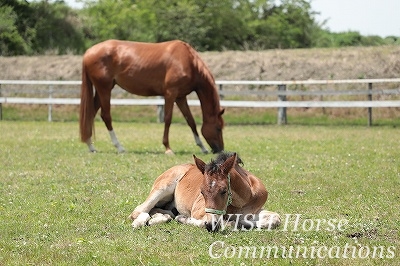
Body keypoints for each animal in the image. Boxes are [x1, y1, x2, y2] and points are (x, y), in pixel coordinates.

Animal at [79, 39, 223, 154]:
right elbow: (168, 119)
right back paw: (119, 147)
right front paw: (168, 148)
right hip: (104, 89)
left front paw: (202, 147)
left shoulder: (180, 97)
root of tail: (88, 52)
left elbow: (191, 121)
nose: (220, 149)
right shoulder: (170, 94)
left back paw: (91, 146)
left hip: (102, 90)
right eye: (218, 127)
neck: (188, 61)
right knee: (106, 116)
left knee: (91, 114)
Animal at [130, 153, 280, 232]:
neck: (245, 199)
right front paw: (184, 219)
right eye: (201, 192)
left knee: (163, 212)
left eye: (224, 190)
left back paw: (158, 218)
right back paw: (141, 222)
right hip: (163, 188)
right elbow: (225, 223)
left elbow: (275, 219)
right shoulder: (199, 211)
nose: (210, 225)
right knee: (139, 211)